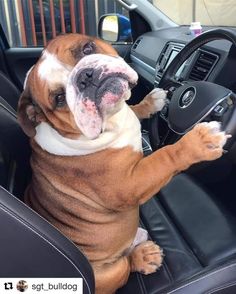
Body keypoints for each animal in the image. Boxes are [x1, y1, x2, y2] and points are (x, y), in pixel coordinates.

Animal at [18, 33, 229, 292]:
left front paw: (151, 102)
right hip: (109, 273)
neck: (112, 121)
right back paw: (144, 257)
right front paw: (199, 142)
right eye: (58, 99)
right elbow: (165, 157)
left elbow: (134, 109)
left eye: (87, 48)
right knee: (126, 265)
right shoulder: (130, 183)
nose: (86, 77)